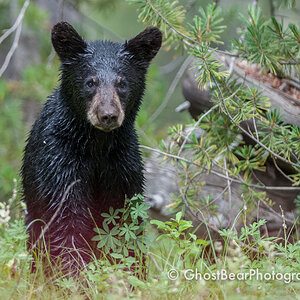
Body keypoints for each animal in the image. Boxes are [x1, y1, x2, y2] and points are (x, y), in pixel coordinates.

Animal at [21, 21, 162, 274]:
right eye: (90, 82)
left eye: (122, 83)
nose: (108, 115)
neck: (98, 145)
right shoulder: (60, 161)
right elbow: (67, 219)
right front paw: (73, 274)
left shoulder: (124, 166)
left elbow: (125, 223)